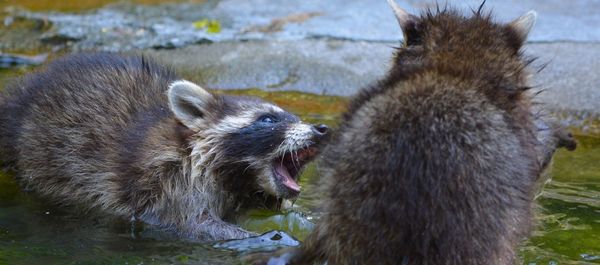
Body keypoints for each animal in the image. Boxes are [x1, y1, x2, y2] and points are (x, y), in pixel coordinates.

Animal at [0, 52, 328, 240]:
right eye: (268, 119)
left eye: (293, 116)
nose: (321, 130)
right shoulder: (170, 179)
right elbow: (193, 225)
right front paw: (258, 238)